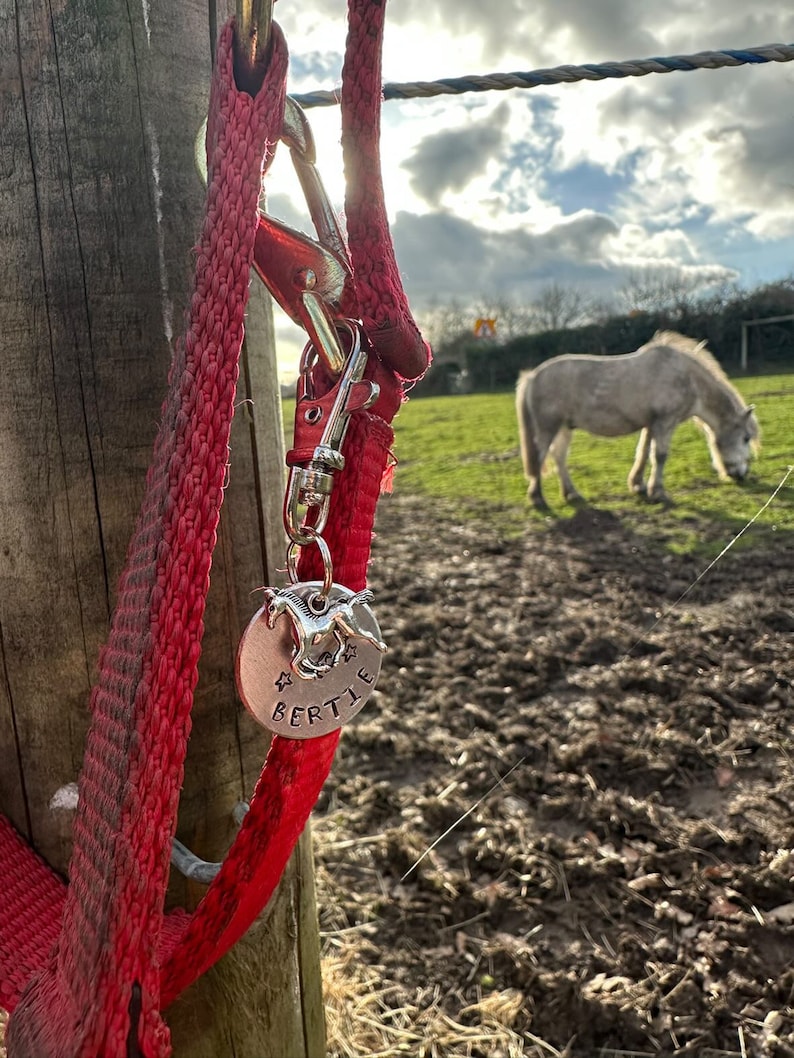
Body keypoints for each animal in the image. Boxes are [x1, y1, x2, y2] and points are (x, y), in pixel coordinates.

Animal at [516, 331, 759, 509]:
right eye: (746, 438)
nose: (742, 475)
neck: (687, 379)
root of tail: (533, 376)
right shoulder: (665, 423)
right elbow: (659, 455)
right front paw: (657, 492)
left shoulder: (651, 424)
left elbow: (643, 453)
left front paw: (638, 485)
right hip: (548, 428)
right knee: (539, 458)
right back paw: (537, 498)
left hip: (564, 428)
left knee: (559, 458)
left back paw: (572, 494)